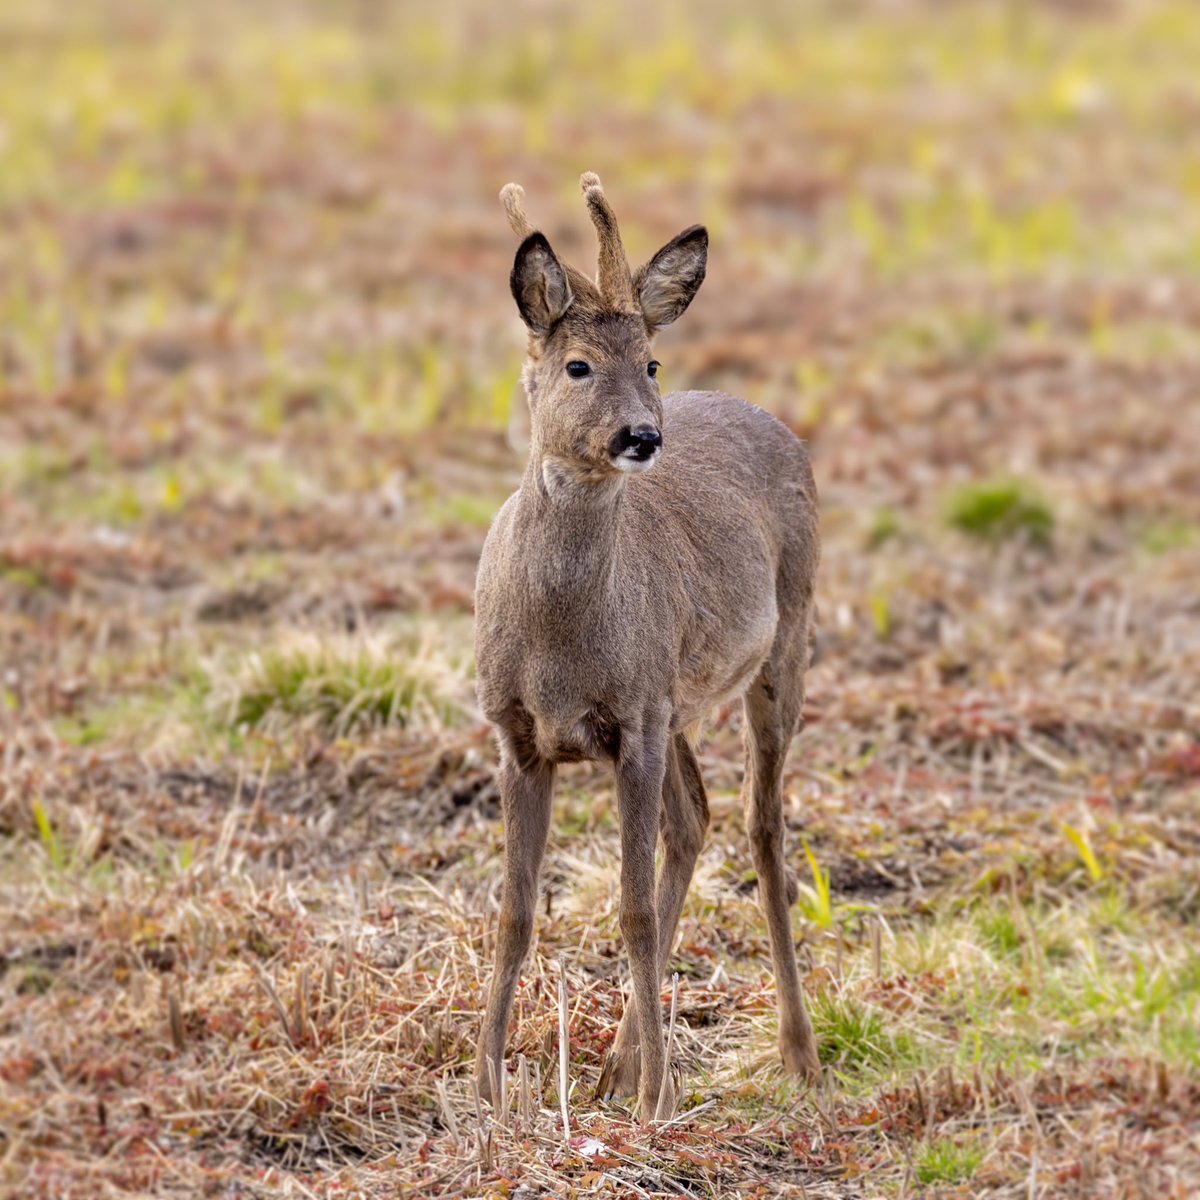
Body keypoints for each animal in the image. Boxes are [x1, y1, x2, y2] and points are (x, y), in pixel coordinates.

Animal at [472, 174, 820, 1118]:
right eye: (577, 365)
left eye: (652, 364)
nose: (642, 436)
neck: (560, 643)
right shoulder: (518, 733)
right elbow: (515, 911)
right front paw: (486, 1084)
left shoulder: (632, 717)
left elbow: (626, 910)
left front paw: (659, 1100)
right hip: (680, 703)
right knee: (695, 818)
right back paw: (618, 1065)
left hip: (784, 646)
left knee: (762, 828)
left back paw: (797, 1055)